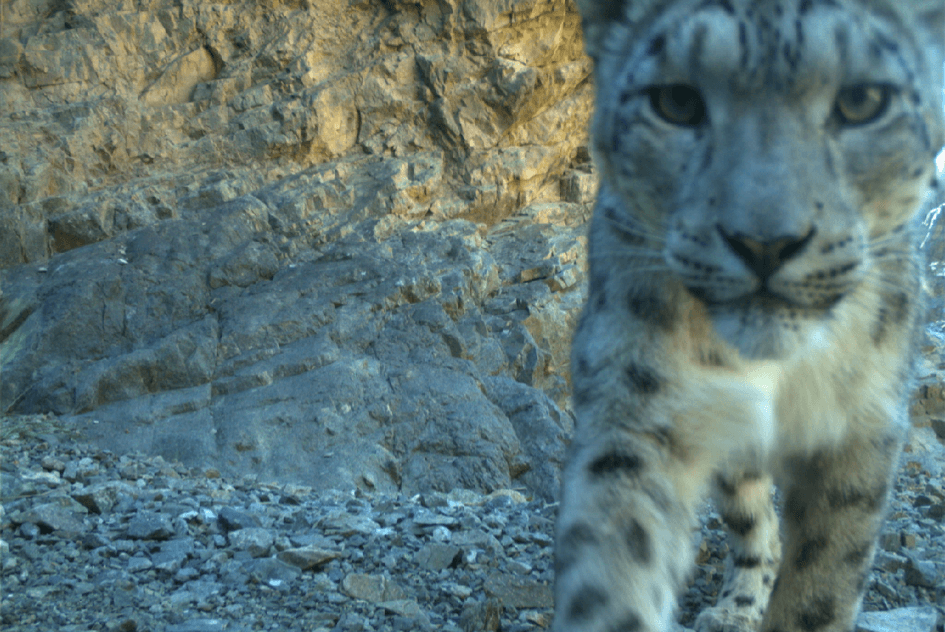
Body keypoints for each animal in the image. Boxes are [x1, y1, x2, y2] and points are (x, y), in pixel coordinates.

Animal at [556, 1, 940, 632]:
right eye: (676, 102)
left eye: (862, 101)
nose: (765, 243)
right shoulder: (639, 406)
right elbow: (615, 561)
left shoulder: (864, 425)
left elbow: (824, 577)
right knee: (759, 523)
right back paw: (734, 609)